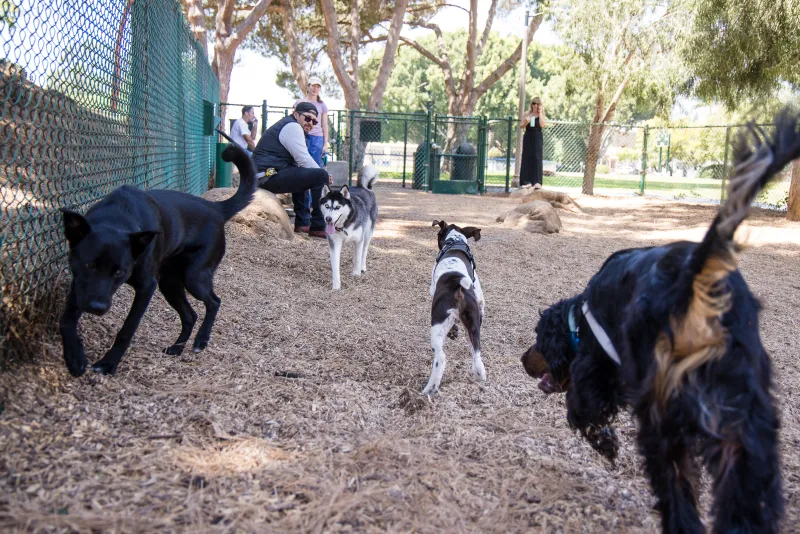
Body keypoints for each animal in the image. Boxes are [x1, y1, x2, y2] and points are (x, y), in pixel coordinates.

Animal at [61, 140, 255, 378]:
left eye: (119, 272)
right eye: (89, 265)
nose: (97, 307)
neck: (117, 218)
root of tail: (215, 207)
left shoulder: (146, 287)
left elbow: (127, 328)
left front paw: (108, 363)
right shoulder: (80, 283)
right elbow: (66, 320)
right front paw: (75, 358)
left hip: (194, 278)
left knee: (214, 302)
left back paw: (201, 341)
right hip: (169, 283)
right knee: (190, 315)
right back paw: (177, 348)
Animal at [422, 220, 484, 396]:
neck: (455, 242)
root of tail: (458, 285)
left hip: (436, 325)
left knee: (440, 358)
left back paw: (429, 389)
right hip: (473, 325)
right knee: (477, 355)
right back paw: (480, 375)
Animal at [520, 111, 796, 532]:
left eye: (538, 339)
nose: (523, 359)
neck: (580, 316)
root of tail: (693, 279)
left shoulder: (598, 369)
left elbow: (582, 406)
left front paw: (605, 441)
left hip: (665, 414)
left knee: (674, 479)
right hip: (745, 419)